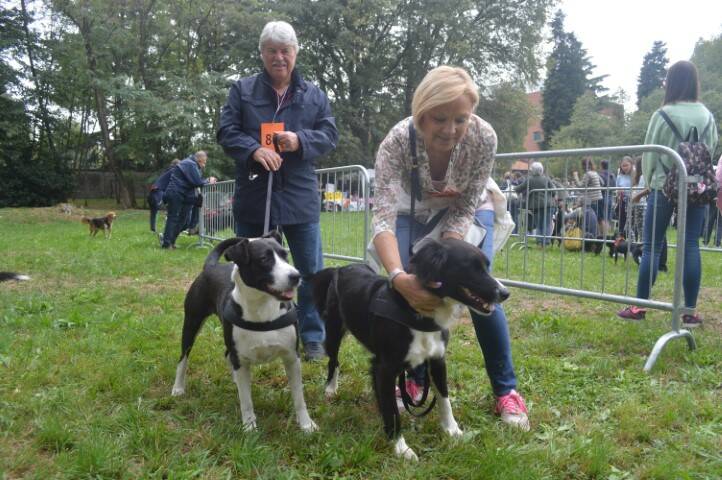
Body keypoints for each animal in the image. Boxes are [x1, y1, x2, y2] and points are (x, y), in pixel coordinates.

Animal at [170, 234, 316, 434]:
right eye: (264, 259)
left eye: (285, 255)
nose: (296, 276)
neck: (262, 310)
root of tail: (210, 266)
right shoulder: (240, 358)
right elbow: (246, 400)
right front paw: (249, 427)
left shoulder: (292, 358)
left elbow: (299, 397)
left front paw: (306, 425)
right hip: (192, 323)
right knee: (183, 357)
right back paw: (178, 387)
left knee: (227, 355)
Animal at [312, 238, 510, 460]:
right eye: (470, 267)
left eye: (486, 266)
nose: (505, 293)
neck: (420, 315)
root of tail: (341, 268)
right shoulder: (384, 368)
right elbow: (392, 411)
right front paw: (400, 447)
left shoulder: (438, 359)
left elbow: (444, 399)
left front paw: (452, 430)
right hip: (333, 330)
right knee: (334, 360)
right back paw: (330, 388)